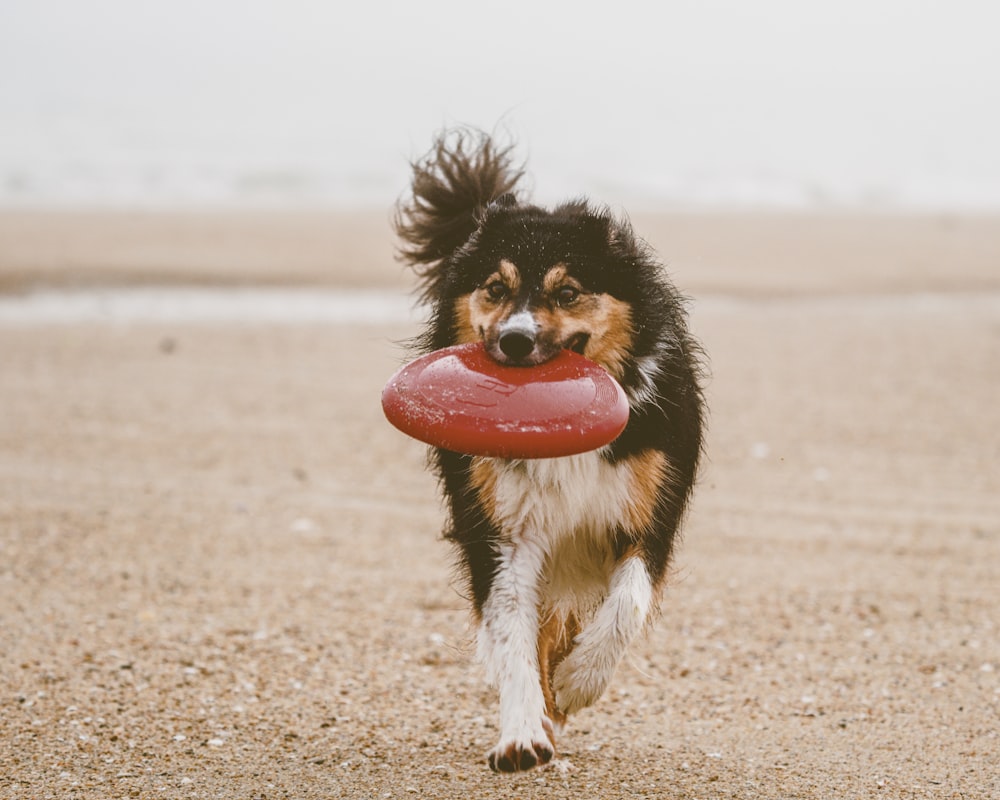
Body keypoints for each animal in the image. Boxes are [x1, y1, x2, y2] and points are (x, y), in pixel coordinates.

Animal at [390, 128, 704, 772]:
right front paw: (521, 733)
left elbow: (626, 606)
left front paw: (578, 682)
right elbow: (513, 633)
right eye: (496, 288)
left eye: (567, 291)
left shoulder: (647, 513)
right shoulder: (504, 527)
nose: (515, 340)